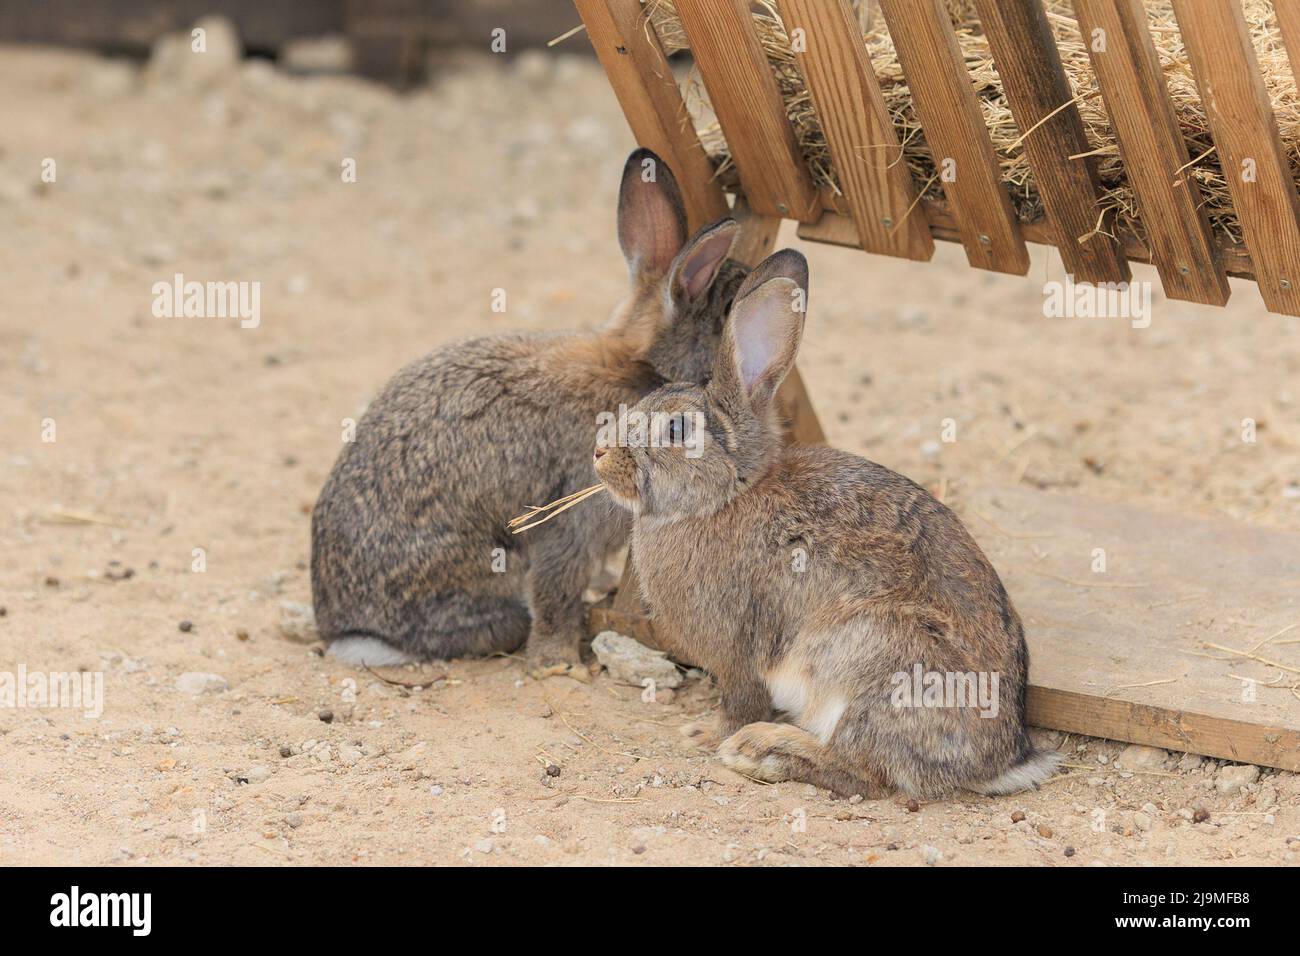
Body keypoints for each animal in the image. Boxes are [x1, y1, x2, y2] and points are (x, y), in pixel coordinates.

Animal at [308, 151, 748, 671]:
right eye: (728, 310)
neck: (640, 366)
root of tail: (346, 630)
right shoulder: (574, 514)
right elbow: (558, 583)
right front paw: (560, 662)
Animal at [595, 251, 1060, 796]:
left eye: (675, 428)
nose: (600, 454)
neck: (725, 497)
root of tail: (1002, 760)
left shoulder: (739, 655)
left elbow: (738, 702)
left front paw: (705, 735)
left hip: (866, 659)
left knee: (862, 769)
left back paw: (761, 750)